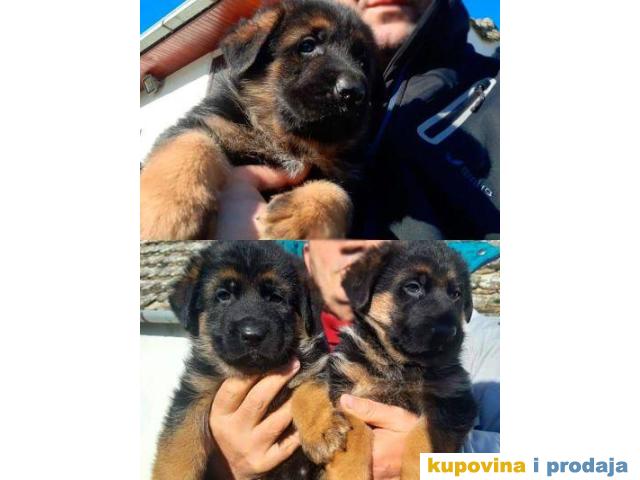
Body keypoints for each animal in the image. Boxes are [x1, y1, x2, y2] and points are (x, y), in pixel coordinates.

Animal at [140, 0, 378, 240]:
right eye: (307, 45)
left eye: (362, 62)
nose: (354, 92)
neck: (284, 138)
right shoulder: (209, 121)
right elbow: (191, 142)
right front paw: (166, 212)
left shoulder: (348, 176)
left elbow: (341, 194)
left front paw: (298, 221)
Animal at [152, 242, 331, 480]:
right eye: (223, 295)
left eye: (276, 297)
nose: (252, 335)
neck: (256, 371)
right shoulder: (194, 391)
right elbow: (177, 447)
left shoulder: (314, 367)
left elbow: (310, 389)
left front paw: (322, 429)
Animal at [291, 242, 478, 479]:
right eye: (413, 287)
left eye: (456, 294)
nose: (448, 332)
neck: (399, 365)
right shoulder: (344, 392)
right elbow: (356, 432)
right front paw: (350, 472)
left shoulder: (453, 402)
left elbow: (424, 438)